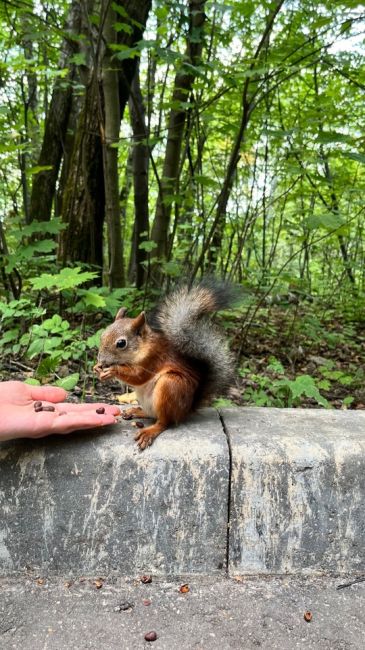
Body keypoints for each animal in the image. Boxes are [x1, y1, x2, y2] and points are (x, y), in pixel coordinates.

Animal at [94, 280, 235, 448]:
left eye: (121, 343)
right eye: (102, 335)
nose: (101, 360)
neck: (143, 347)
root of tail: (185, 411)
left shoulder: (152, 359)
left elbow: (138, 377)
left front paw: (112, 370)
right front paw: (97, 369)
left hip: (170, 385)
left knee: (164, 422)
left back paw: (150, 431)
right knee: (151, 414)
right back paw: (135, 411)